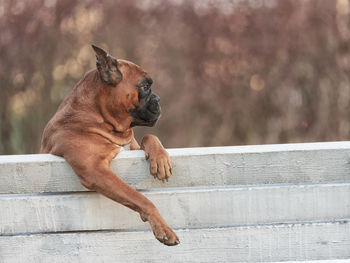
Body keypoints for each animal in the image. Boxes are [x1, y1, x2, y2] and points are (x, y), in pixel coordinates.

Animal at [39, 44, 179, 246]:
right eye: (145, 86)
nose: (158, 99)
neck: (99, 118)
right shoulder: (95, 170)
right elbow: (140, 197)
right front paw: (163, 228)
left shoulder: (132, 148)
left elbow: (150, 137)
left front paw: (160, 159)